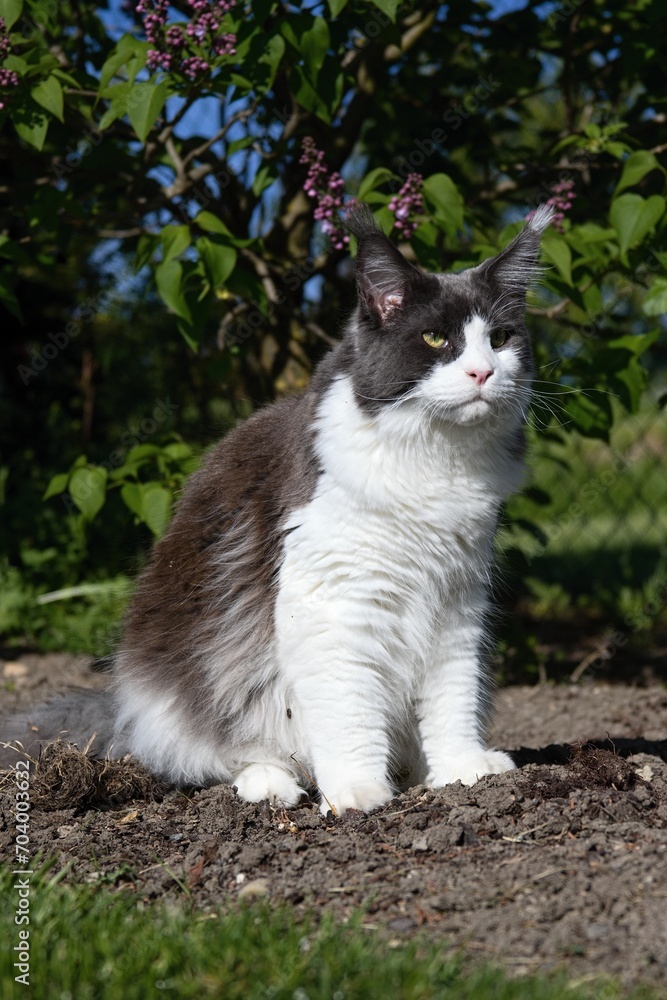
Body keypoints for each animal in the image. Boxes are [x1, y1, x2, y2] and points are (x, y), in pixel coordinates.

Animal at [109, 201, 552, 812]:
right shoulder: (334, 604)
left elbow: (452, 699)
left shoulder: (457, 602)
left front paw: (461, 771)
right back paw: (273, 785)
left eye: (502, 338)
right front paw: (358, 792)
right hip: (191, 697)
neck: (436, 458)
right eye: (435, 338)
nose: (482, 372)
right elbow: (349, 710)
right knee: (227, 752)